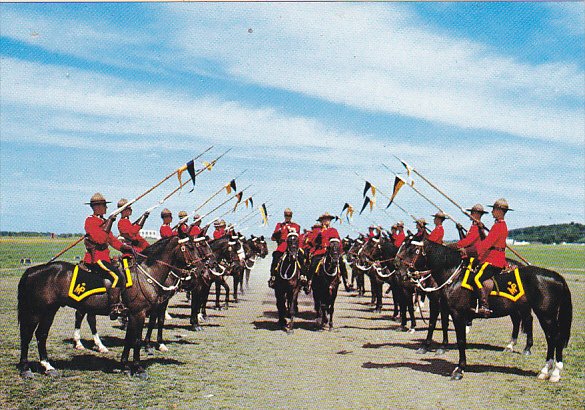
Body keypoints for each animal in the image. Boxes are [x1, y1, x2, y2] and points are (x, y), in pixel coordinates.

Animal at [17, 235, 196, 380]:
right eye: (190, 247)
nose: (196, 271)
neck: (146, 275)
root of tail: (33, 270)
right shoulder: (138, 314)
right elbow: (136, 340)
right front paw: (138, 369)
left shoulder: (132, 315)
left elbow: (129, 340)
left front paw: (125, 366)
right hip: (36, 311)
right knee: (27, 335)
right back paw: (26, 369)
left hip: (49, 311)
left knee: (41, 335)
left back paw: (48, 366)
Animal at [394, 237, 572, 382]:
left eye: (413, 250)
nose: (398, 270)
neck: (454, 276)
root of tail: (557, 277)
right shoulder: (448, 309)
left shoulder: (457, 314)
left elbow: (460, 340)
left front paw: (459, 369)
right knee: (549, 337)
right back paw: (544, 370)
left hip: (546, 315)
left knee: (554, 338)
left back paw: (554, 372)